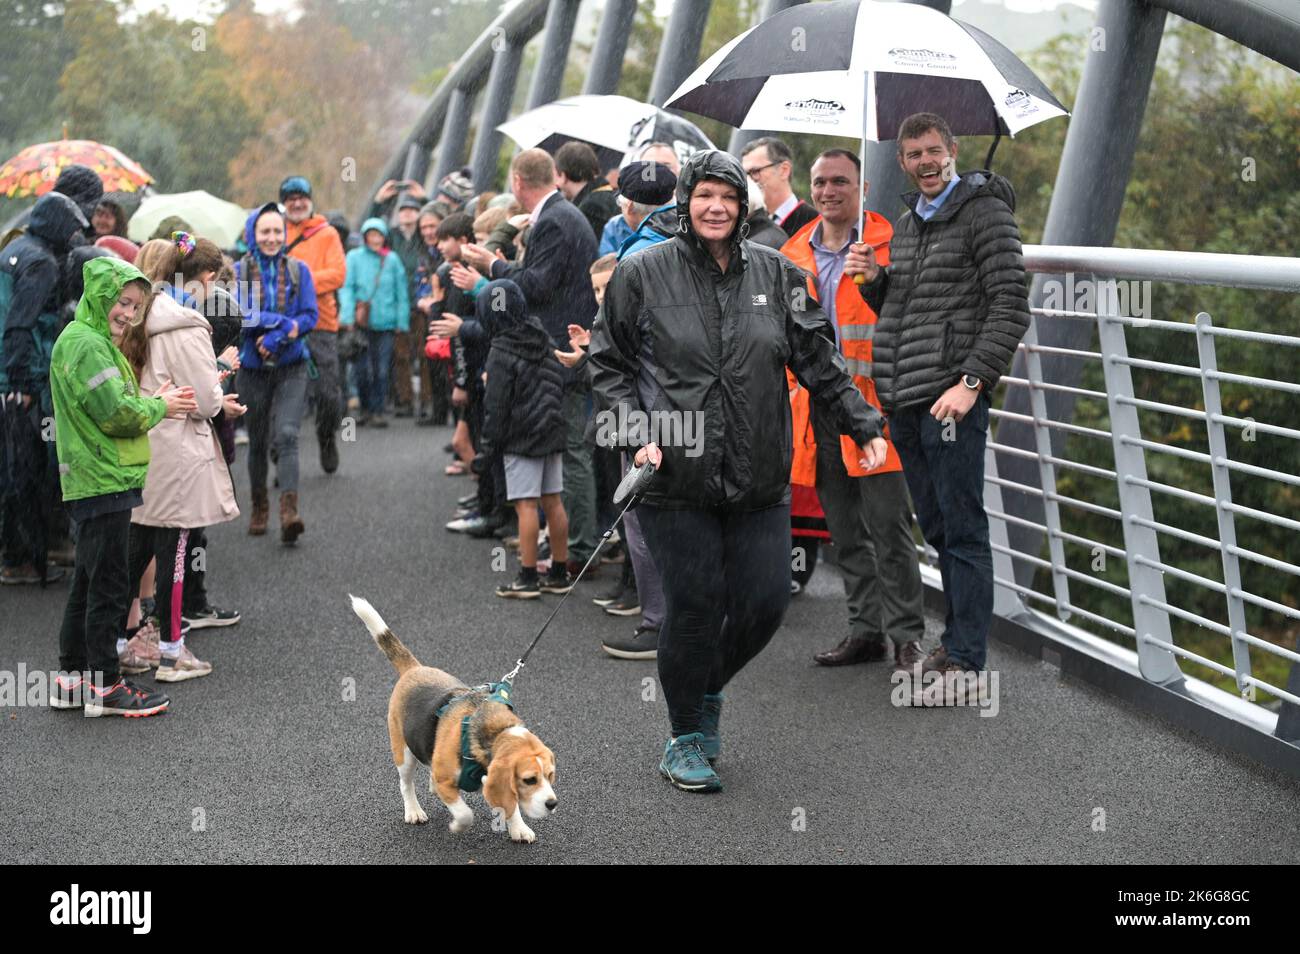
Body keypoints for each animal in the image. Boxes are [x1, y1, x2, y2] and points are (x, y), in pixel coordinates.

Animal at [351, 597, 559, 842]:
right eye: (529, 780)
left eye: (550, 775)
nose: (552, 804)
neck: (495, 732)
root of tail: (414, 669)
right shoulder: (446, 780)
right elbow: (465, 813)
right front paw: (458, 826)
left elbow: (510, 804)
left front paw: (519, 828)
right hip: (403, 752)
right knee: (406, 783)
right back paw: (413, 810)